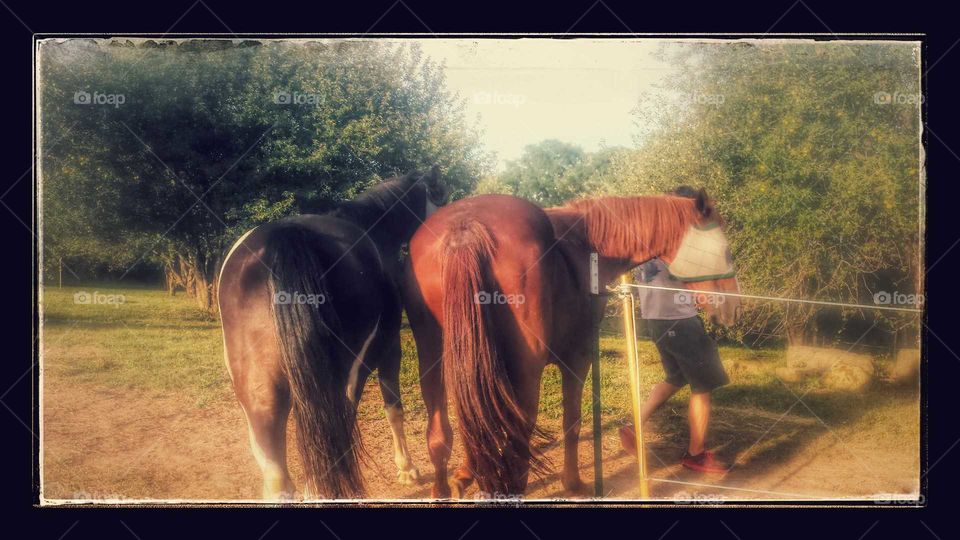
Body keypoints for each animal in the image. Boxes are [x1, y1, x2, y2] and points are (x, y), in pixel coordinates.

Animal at [218, 167, 448, 499]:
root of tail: (286, 237)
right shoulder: (391, 349)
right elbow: (394, 407)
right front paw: (407, 470)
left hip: (256, 388)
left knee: (275, 461)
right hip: (346, 377)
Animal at [402, 189, 740, 498]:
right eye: (726, 251)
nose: (731, 307)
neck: (586, 244)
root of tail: (466, 227)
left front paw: (465, 475)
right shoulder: (578, 357)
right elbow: (572, 422)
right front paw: (573, 483)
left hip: (432, 353)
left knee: (443, 433)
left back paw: (442, 489)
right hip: (526, 368)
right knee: (518, 435)